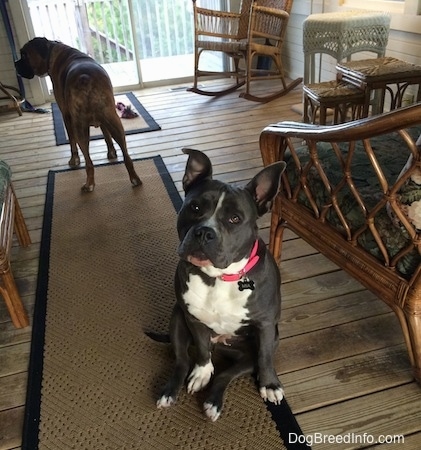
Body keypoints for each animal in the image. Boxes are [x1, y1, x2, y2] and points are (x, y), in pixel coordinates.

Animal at [14, 37, 141, 192]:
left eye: (24, 54)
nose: (15, 64)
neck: (53, 51)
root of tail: (85, 78)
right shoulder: (104, 122)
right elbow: (107, 136)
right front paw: (111, 153)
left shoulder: (66, 116)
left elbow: (71, 142)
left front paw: (74, 159)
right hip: (114, 122)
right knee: (126, 156)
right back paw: (134, 178)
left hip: (79, 127)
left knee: (88, 161)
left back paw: (89, 184)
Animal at [158, 149, 286, 422]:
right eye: (195, 207)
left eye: (234, 218)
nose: (205, 232)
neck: (218, 278)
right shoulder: (193, 318)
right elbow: (202, 351)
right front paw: (202, 372)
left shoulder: (266, 326)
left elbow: (265, 357)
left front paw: (270, 384)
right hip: (177, 318)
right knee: (182, 361)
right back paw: (170, 391)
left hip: (258, 348)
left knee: (229, 372)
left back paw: (213, 402)